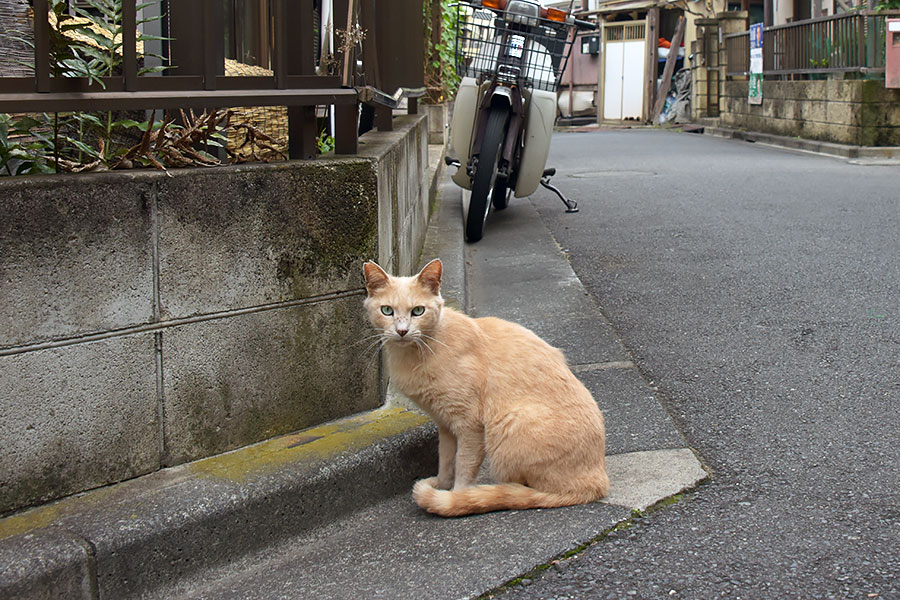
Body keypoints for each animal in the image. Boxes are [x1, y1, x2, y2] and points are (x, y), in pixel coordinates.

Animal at [362, 258, 608, 516]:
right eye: (387, 310)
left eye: (418, 311)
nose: (401, 331)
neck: (418, 353)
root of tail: (597, 483)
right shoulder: (445, 425)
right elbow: (446, 460)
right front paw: (442, 485)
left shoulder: (469, 424)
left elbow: (464, 465)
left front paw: (457, 497)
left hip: (507, 426)